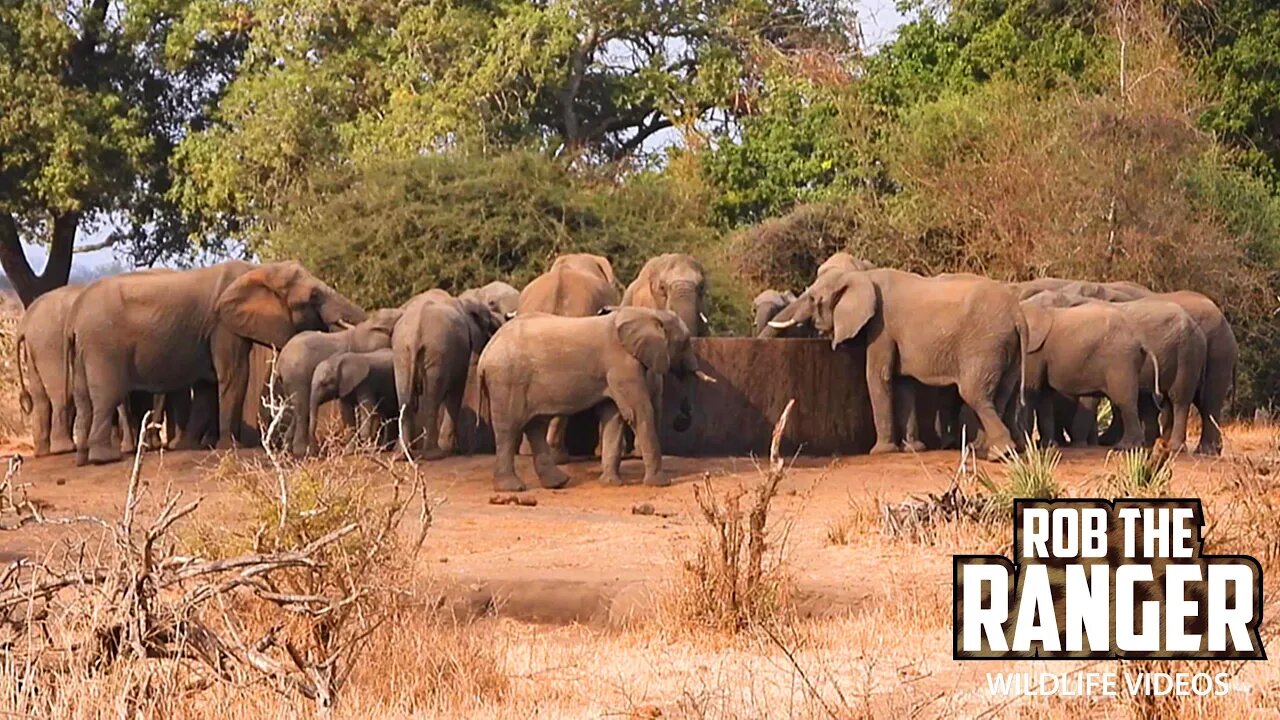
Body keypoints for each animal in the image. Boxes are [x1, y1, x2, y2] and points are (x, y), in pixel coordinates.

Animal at [67, 260, 366, 461]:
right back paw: (104, 458)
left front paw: (188, 447)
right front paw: (230, 447)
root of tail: (75, 314)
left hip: (84, 348)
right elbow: (234, 376)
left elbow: (206, 386)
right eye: (314, 296)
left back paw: (82, 457)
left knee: (82, 397)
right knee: (106, 395)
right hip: (102, 345)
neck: (257, 270)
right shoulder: (223, 325)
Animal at [394, 289, 504, 453]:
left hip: (402, 352)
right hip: (438, 349)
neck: (463, 302)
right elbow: (457, 389)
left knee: (404, 398)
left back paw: (403, 452)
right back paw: (435, 452)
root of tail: (416, 332)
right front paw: (449, 449)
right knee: (432, 399)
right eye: (488, 321)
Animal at [478, 304, 716, 489]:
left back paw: (558, 483)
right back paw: (513, 488)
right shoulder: (622, 365)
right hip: (507, 380)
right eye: (685, 342)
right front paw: (660, 484)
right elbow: (638, 412)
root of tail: (485, 354)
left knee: (534, 426)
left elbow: (614, 416)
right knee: (509, 429)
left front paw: (611, 484)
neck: (648, 313)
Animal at [768, 266, 1029, 456]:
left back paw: (999, 453)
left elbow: (877, 376)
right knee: (1003, 394)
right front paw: (913, 449)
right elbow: (903, 382)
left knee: (974, 393)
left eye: (813, 299)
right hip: (1007, 347)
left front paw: (880, 451)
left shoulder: (881, 327)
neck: (862, 276)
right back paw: (989, 449)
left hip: (985, 344)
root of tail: (1017, 313)